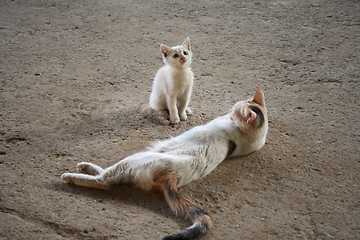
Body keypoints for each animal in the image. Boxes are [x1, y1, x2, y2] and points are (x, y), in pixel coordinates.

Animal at [61, 89, 268, 240]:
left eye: (234, 111)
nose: (228, 112)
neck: (250, 140)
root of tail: (172, 176)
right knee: (105, 174)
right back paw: (85, 166)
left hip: (134, 159)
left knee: (105, 181)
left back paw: (71, 177)